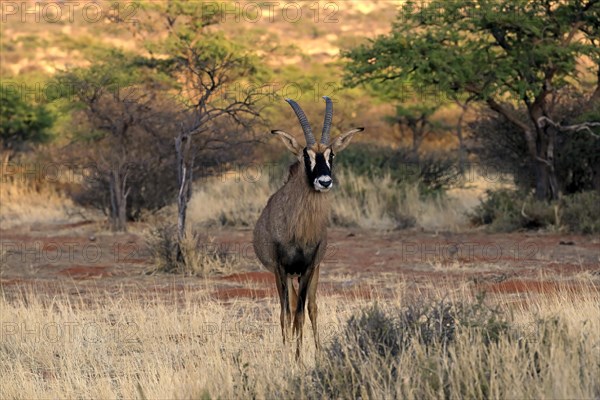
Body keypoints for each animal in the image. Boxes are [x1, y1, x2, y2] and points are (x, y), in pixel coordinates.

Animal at [252, 97, 364, 360]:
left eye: (331, 155)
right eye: (306, 155)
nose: (324, 181)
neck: (297, 230)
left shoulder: (308, 268)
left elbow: (302, 314)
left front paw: (299, 357)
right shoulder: (281, 269)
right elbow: (286, 314)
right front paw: (288, 355)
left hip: (313, 271)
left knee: (311, 307)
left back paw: (319, 351)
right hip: (284, 275)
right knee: (290, 308)